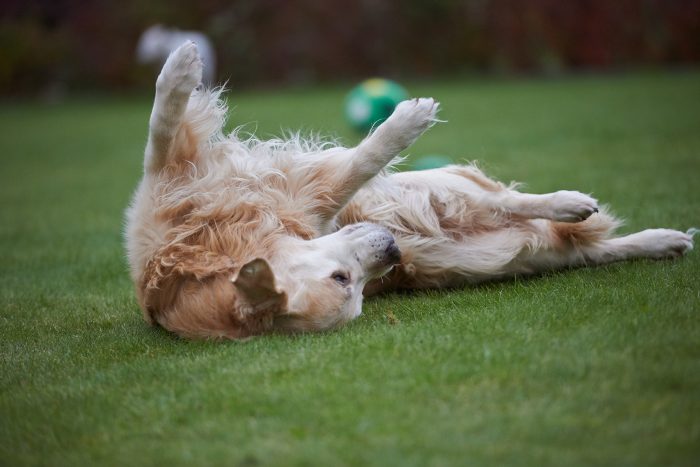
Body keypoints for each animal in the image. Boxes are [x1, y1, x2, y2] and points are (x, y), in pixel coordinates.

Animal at [126, 41, 696, 340]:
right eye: (347, 284)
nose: (393, 251)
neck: (209, 250)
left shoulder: (183, 189)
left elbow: (159, 128)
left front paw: (179, 65)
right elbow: (361, 160)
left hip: (438, 184)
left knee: (512, 201)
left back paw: (578, 207)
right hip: (507, 255)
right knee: (588, 250)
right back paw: (654, 239)